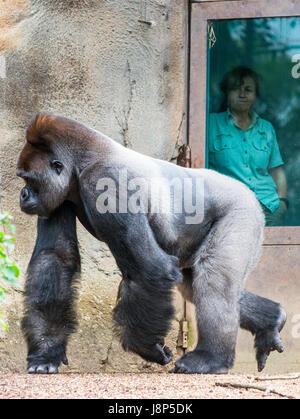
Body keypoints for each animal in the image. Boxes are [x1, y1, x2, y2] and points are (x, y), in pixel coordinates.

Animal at [17, 113, 286, 376]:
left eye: (30, 180)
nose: (23, 195)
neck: (82, 162)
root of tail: (249, 194)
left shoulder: (106, 183)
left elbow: (148, 268)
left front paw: (145, 347)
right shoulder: (58, 196)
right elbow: (55, 257)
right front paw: (46, 350)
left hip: (242, 212)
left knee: (214, 280)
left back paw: (212, 358)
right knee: (196, 284)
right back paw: (271, 320)